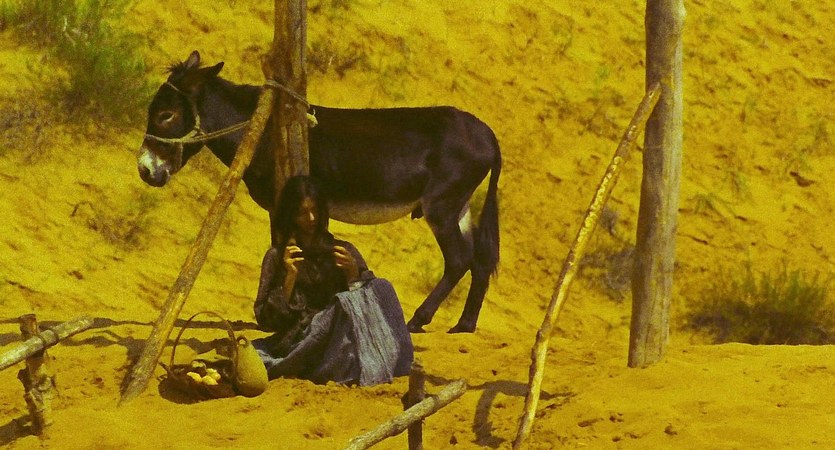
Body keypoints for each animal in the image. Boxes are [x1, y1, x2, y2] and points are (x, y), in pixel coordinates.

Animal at [137, 51, 501, 333]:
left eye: (165, 115)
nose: (144, 170)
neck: (263, 129)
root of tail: (487, 133)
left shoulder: (280, 200)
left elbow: (278, 245)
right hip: (460, 205)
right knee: (480, 260)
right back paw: (464, 325)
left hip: (441, 205)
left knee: (459, 259)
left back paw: (419, 320)